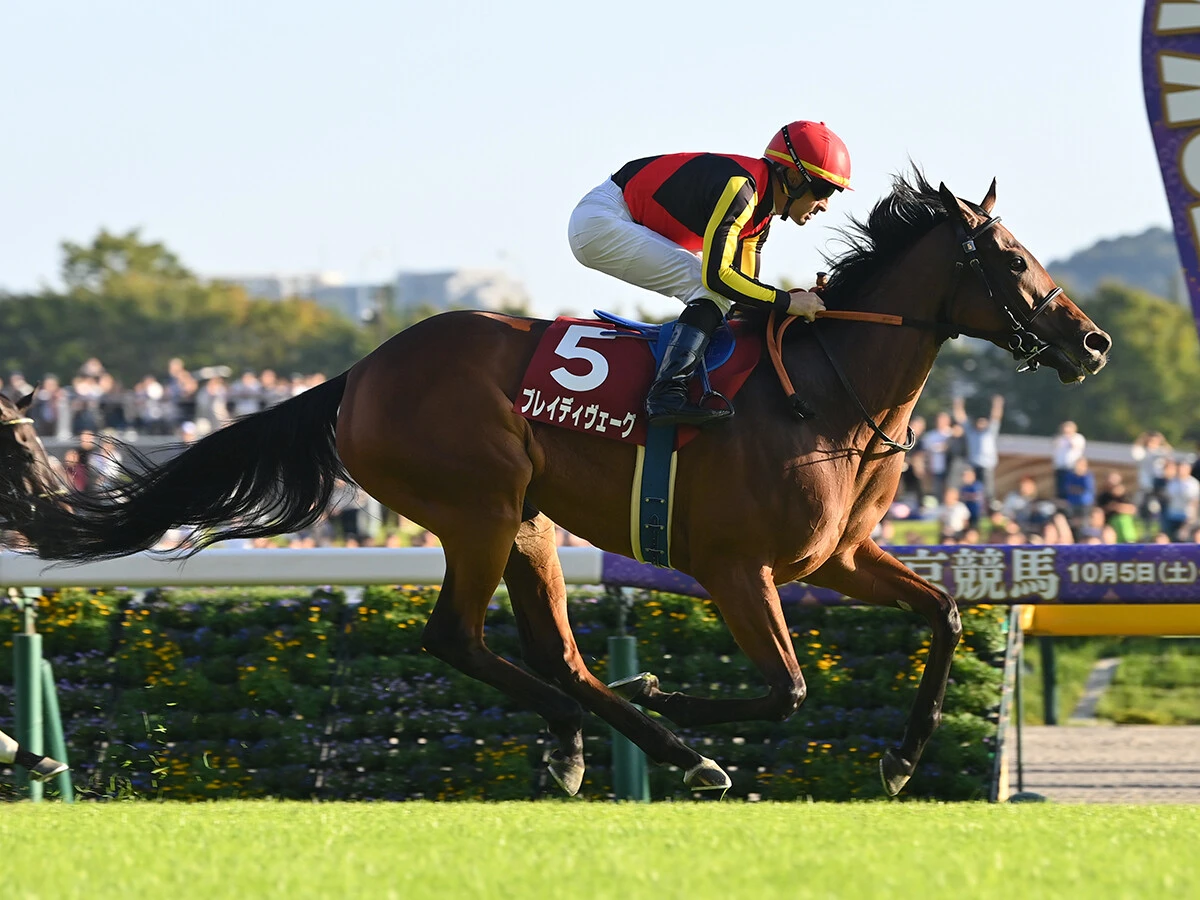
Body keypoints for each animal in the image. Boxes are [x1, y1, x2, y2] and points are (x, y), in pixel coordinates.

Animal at [2, 172, 1110, 797]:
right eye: (1013, 258)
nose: (1092, 342)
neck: (827, 391)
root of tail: (360, 372)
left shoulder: (838, 555)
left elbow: (945, 617)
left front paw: (902, 757)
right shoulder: (734, 568)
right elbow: (786, 689)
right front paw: (671, 696)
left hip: (527, 522)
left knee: (556, 657)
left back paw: (605, 740)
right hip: (478, 507)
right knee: (459, 640)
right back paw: (650, 742)